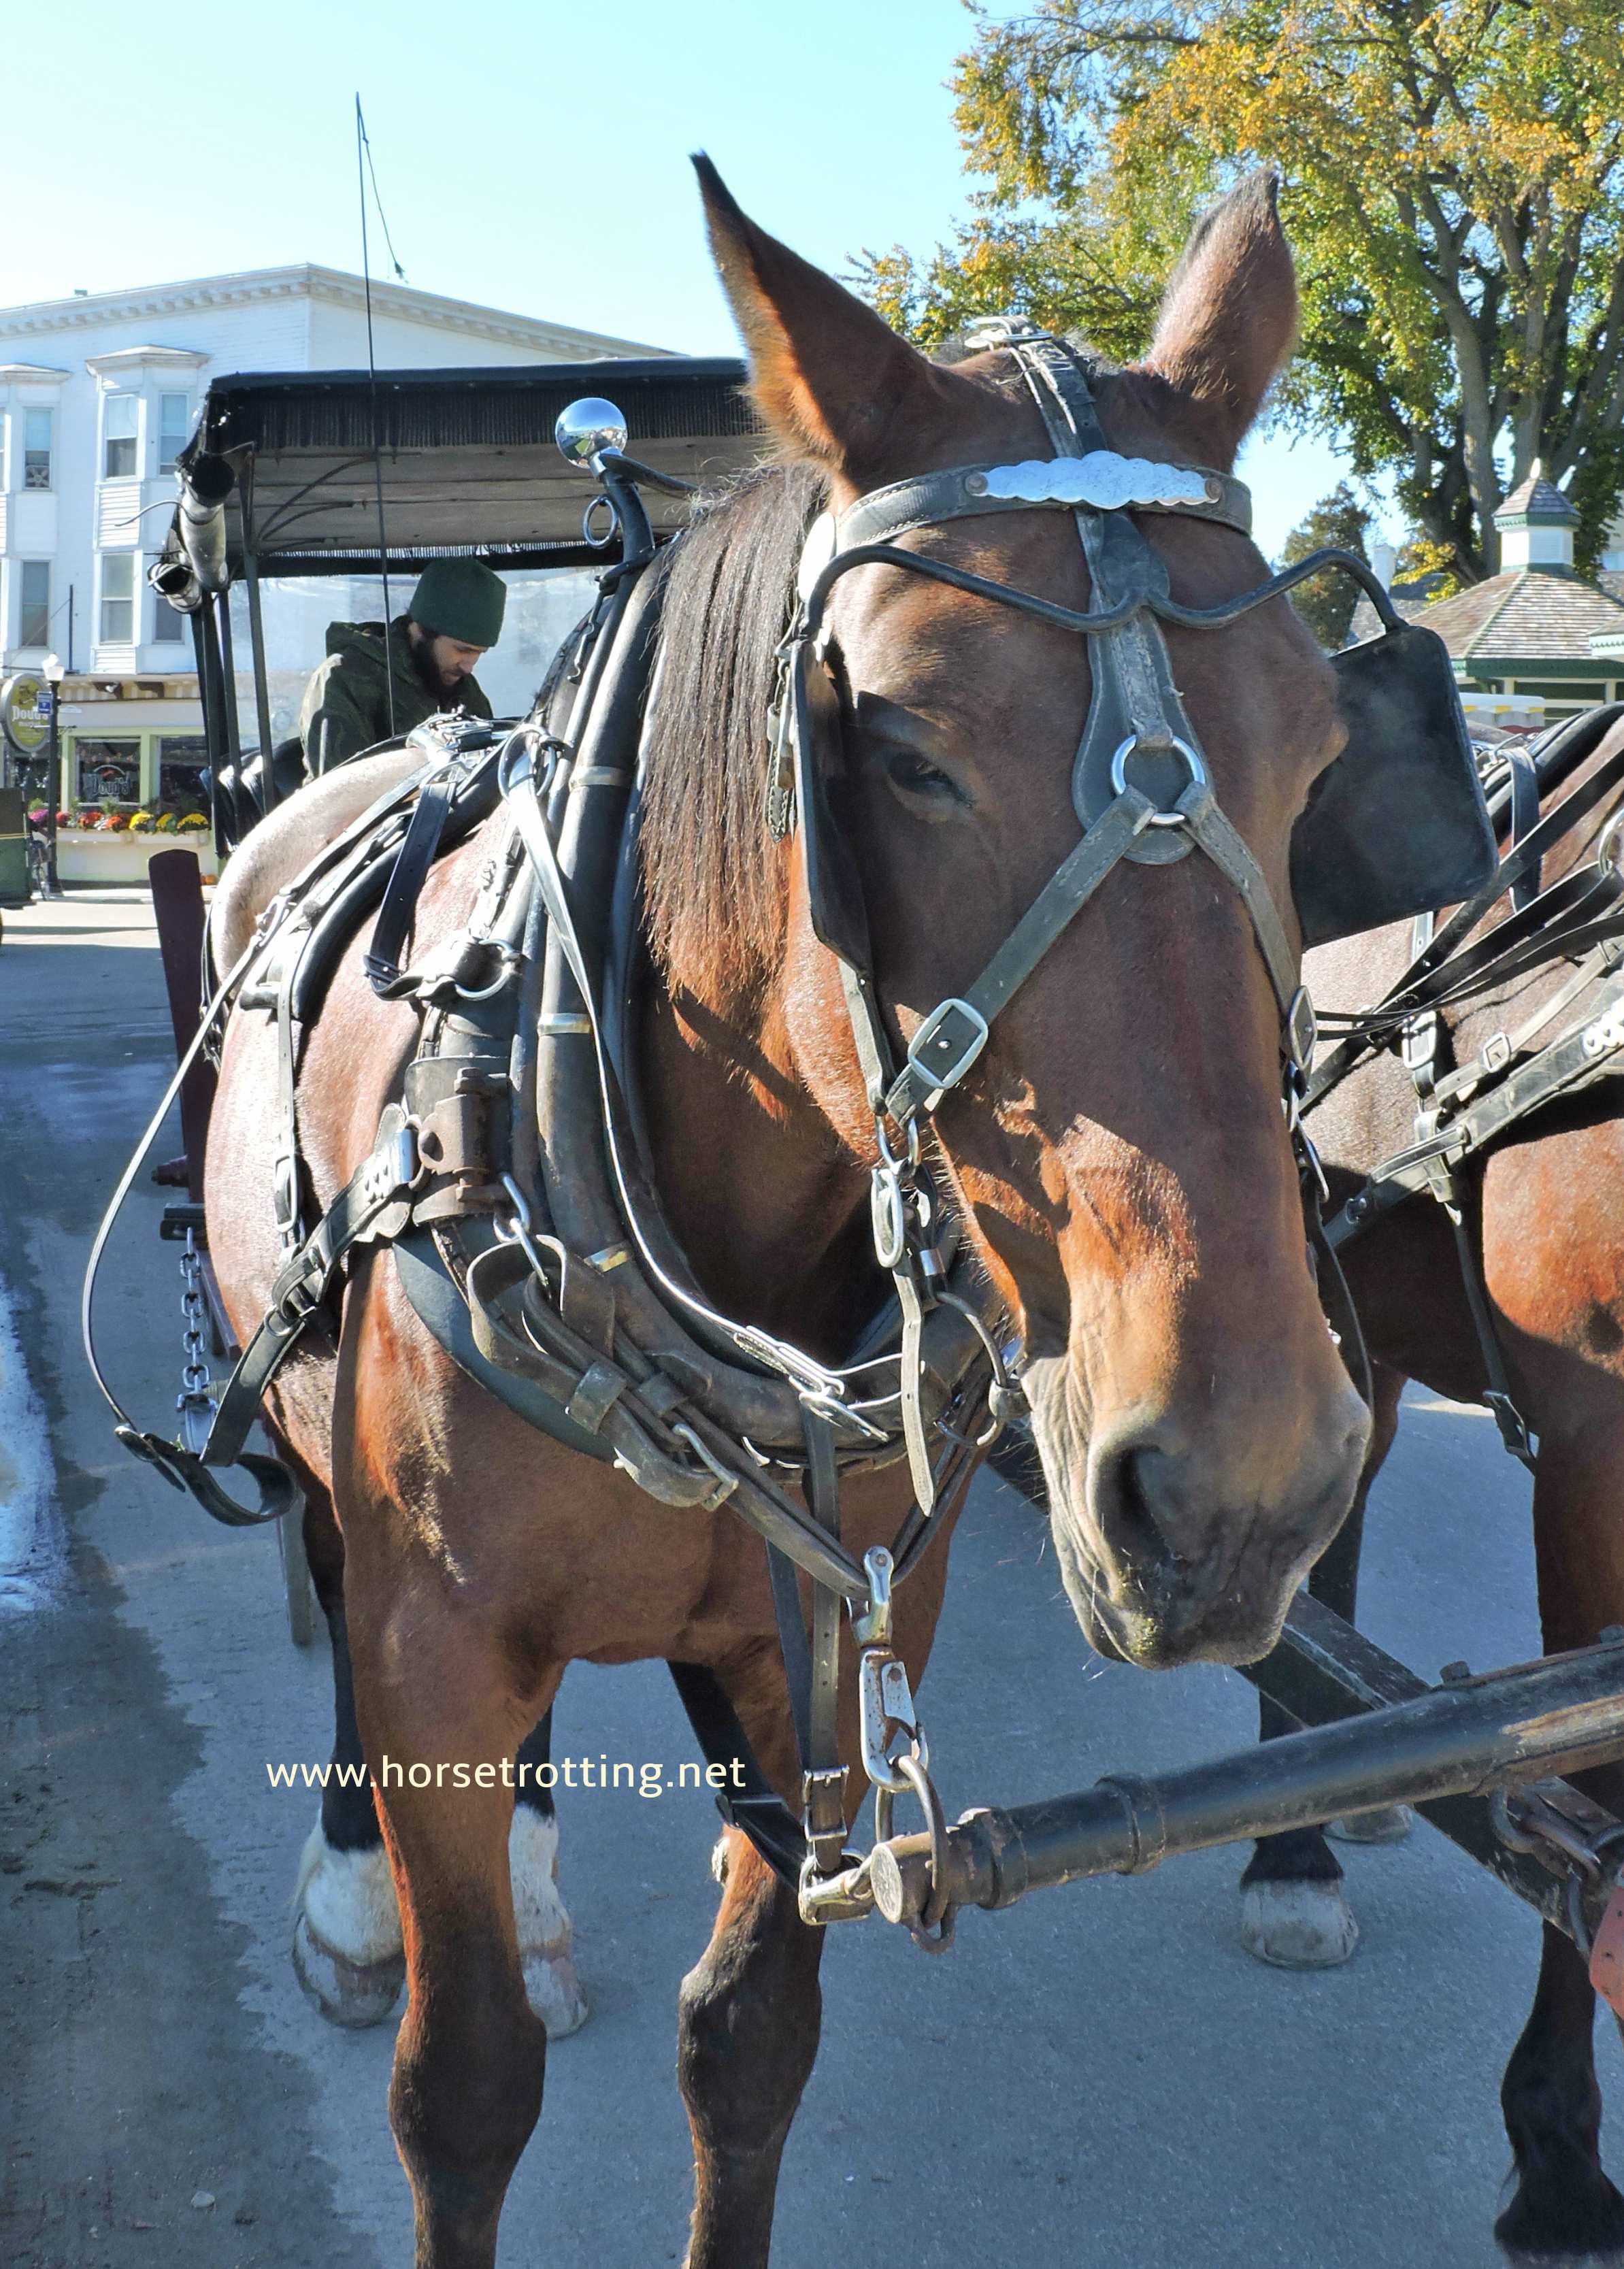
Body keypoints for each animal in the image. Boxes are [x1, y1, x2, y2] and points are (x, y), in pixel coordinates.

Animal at [206, 159, 1368, 2268]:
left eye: (1315, 752)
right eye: (899, 752)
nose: (1239, 1483)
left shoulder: (820, 1643)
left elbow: (749, 2038)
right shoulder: (435, 1641)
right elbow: (462, 2086)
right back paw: (358, 1885)